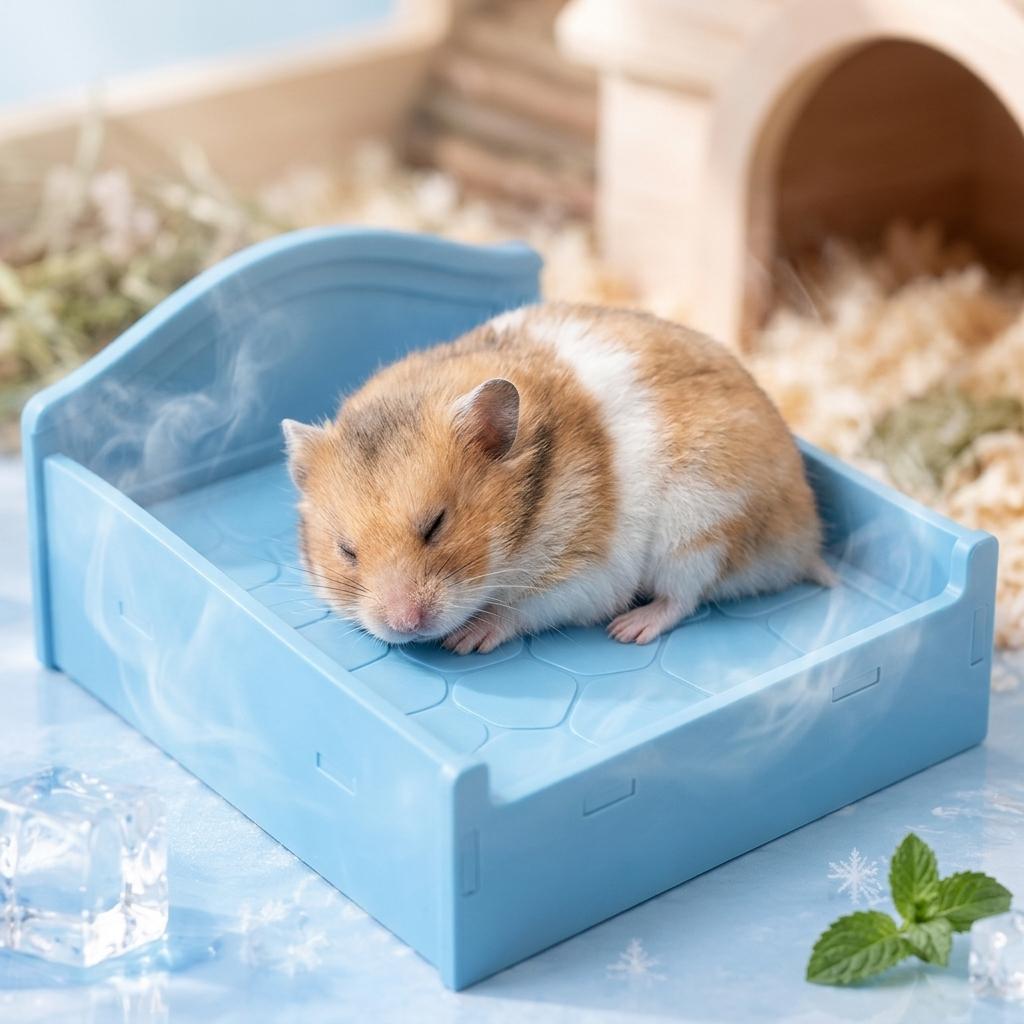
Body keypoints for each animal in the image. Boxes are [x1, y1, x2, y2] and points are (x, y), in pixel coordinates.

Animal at [282, 302, 832, 654]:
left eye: (436, 525)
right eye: (346, 551)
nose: (405, 626)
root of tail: (805, 539)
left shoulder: (587, 572)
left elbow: (527, 608)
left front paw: (466, 640)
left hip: (700, 531)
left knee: (683, 596)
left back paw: (629, 629)